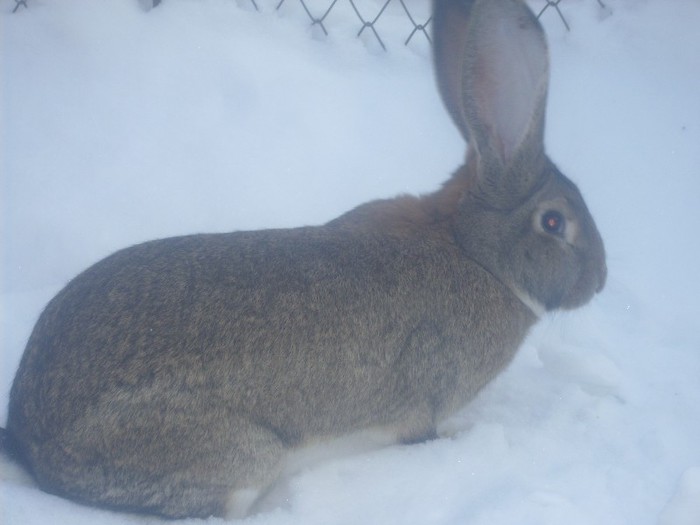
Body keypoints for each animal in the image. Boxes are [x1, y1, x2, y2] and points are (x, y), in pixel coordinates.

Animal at [1, 0, 608, 516]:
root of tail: (29, 443)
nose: (600, 281)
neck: (475, 251)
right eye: (554, 223)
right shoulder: (421, 406)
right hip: (238, 455)